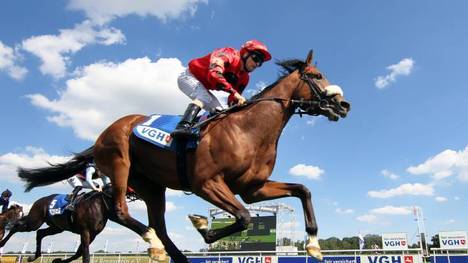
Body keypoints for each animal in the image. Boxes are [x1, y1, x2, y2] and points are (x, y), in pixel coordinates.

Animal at [20, 50, 352, 262]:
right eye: (317, 75)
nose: (343, 104)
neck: (248, 129)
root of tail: (101, 135)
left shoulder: (253, 188)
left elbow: (302, 190)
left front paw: (313, 245)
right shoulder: (206, 183)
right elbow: (243, 217)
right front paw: (203, 226)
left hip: (152, 186)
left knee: (161, 228)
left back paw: (169, 252)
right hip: (119, 164)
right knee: (122, 212)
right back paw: (152, 244)